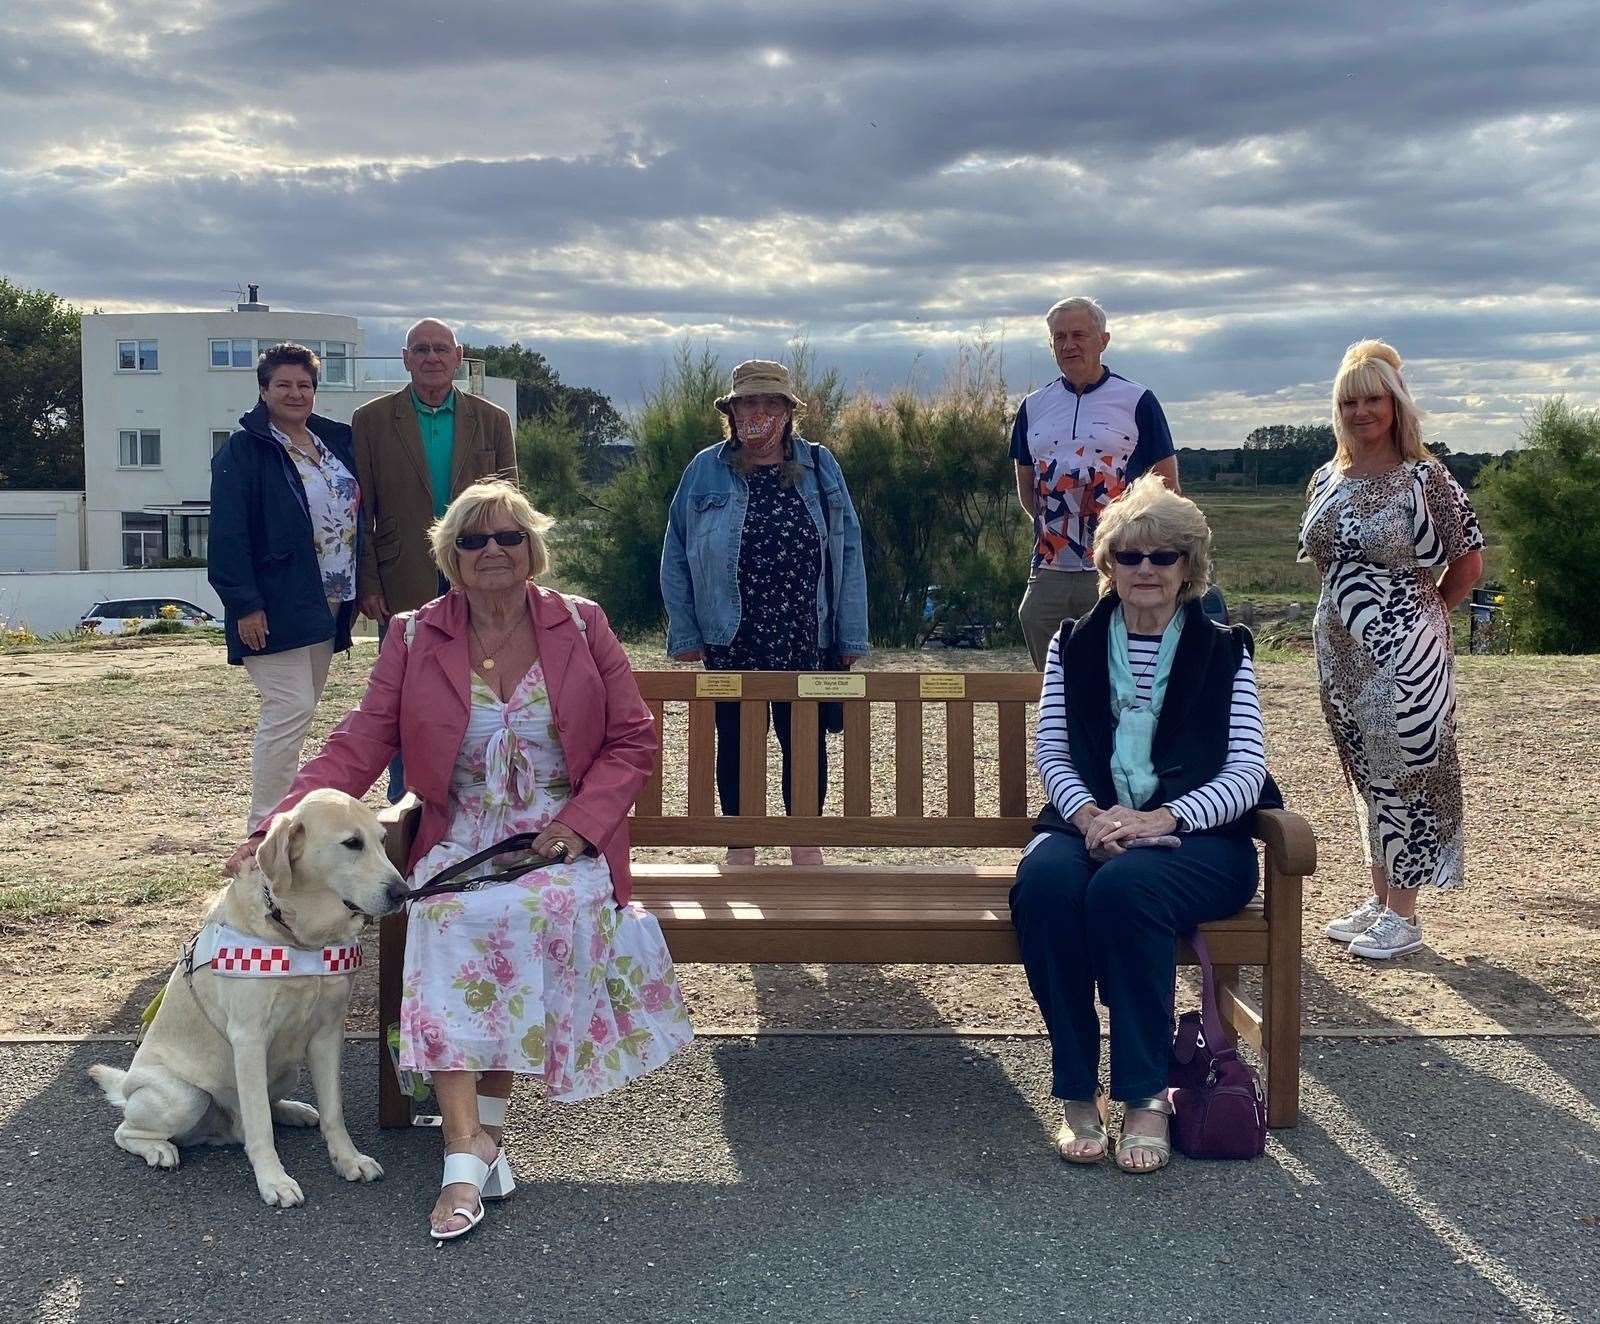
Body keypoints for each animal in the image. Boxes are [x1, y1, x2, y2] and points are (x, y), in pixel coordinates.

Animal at [89, 789, 406, 1202]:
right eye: (352, 843)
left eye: (382, 842)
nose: (403, 892)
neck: (300, 936)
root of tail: (128, 1085)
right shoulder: (249, 1038)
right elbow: (260, 1127)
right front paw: (274, 1180)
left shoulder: (327, 1034)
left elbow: (334, 1112)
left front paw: (348, 1159)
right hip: (185, 1097)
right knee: (127, 1130)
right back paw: (159, 1149)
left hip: (286, 1069)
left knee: (266, 1109)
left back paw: (292, 1110)